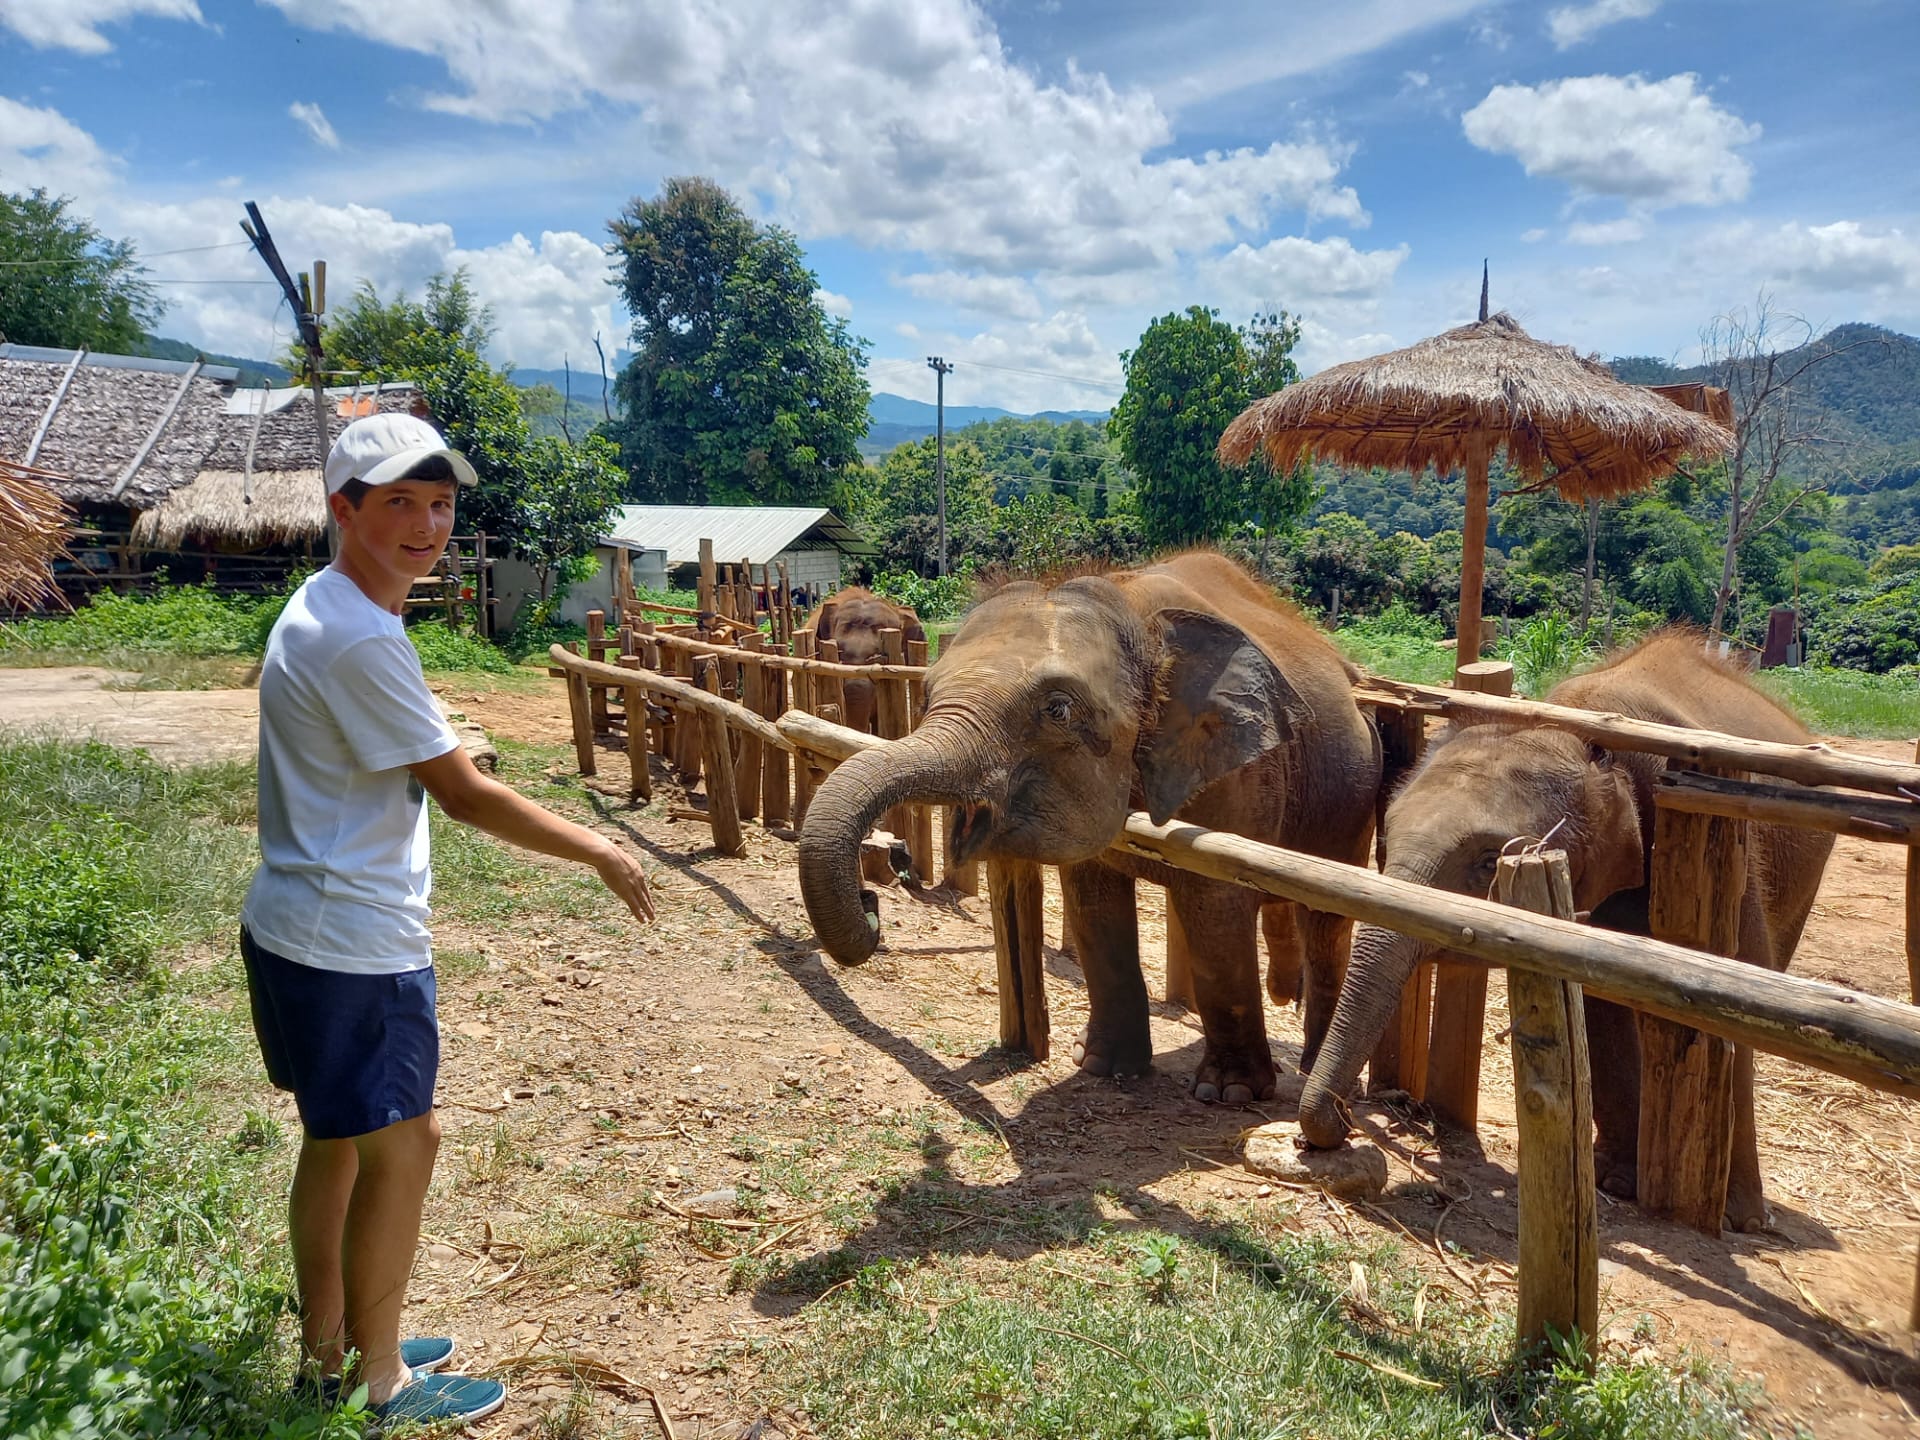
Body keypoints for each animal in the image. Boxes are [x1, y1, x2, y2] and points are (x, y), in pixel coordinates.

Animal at [1296, 632, 1835, 1233]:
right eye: (1385, 835)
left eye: (1490, 862)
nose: (1345, 1121)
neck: (1582, 731)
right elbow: (1601, 1003)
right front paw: (1615, 1181)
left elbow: (1736, 999)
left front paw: (1740, 1221)